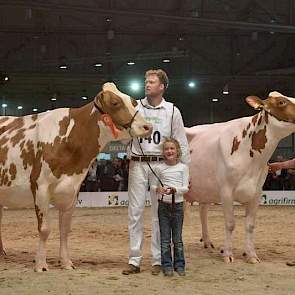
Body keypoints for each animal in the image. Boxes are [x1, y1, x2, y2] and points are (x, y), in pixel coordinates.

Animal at [0, 82, 153, 272]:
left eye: (133, 101)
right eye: (115, 103)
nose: (148, 127)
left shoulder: (72, 191)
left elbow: (65, 230)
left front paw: (66, 263)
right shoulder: (40, 187)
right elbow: (44, 229)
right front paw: (41, 264)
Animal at [186, 92, 295, 264]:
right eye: (281, 102)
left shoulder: (257, 192)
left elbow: (250, 225)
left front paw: (251, 255)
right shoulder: (226, 191)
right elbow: (230, 223)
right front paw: (228, 254)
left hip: (204, 188)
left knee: (203, 211)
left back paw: (207, 242)